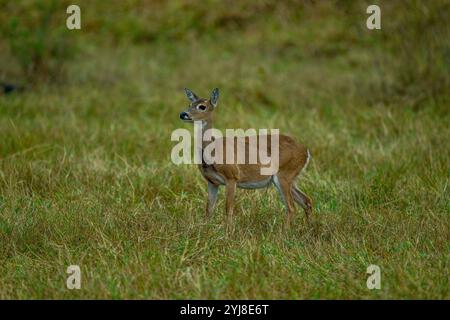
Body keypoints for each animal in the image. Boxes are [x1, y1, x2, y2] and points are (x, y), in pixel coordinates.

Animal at [179, 87, 312, 228]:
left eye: (202, 106)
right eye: (189, 104)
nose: (183, 114)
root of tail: (306, 151)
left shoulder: (232, 176)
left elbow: (228, 209)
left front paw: (228, 231)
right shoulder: (212, 181)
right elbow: (209, 209)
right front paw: (206, 229)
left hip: (285, 173)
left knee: (291, 207)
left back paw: (285, 231)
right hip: (291, 178)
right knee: (306, 200)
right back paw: (309, 228)